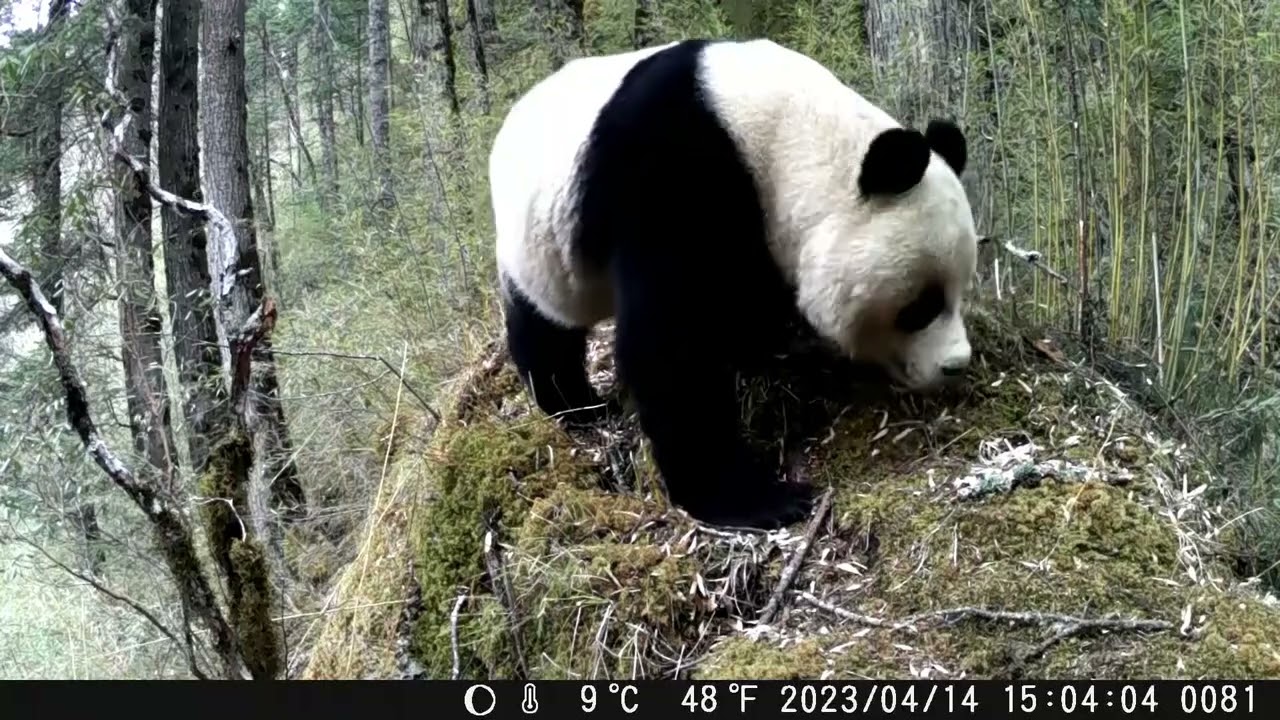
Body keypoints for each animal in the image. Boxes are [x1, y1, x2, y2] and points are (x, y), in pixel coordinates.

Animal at [489, 38, 980, 530]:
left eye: (960, 291)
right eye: (921, 306)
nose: (956, 365)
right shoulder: (670, 174)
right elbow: (670, 345)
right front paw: (758, 499)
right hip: (536, 243)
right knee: (544, 328)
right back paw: (576, 404)